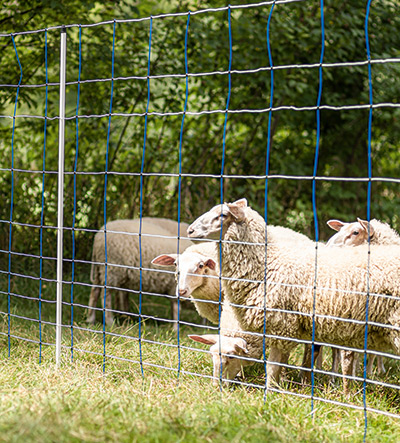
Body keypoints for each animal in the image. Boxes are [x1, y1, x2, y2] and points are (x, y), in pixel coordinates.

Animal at [188, 199, 400, 394]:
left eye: (223, 215)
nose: (190, 230)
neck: (268, 265)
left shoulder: (280, 325)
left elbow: (273, 366)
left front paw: (270, 393)